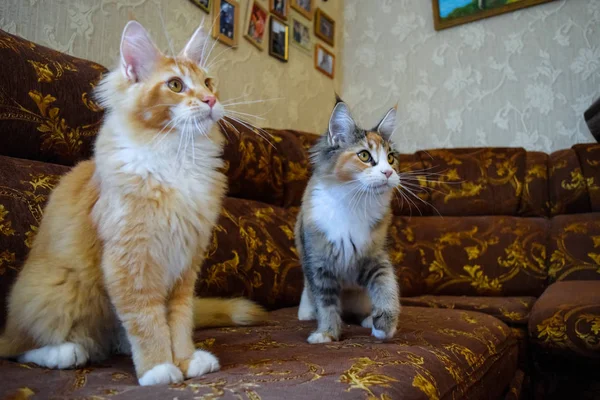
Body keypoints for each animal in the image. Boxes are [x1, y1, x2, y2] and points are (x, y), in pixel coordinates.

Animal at [0, 21, 264, 384]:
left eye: (208, 82)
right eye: (176, 85)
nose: (211, 99)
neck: (177, 157)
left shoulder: (185, 264)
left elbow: (178, 319)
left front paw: (185, 359)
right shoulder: (130, 259)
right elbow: (146, 319)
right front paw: (158, 367)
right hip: (59, 291)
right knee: (18, 346)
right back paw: (65, 352)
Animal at [294, 100, 400, 344]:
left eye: (390, 158)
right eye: (365, 156)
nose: (388, 172)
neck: (354, 203)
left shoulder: (376, 258)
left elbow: (386, 289)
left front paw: (384, 326)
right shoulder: (318, 264)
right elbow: (326, 304)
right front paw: (326, 333)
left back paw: (368, 319)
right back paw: (306, 313)